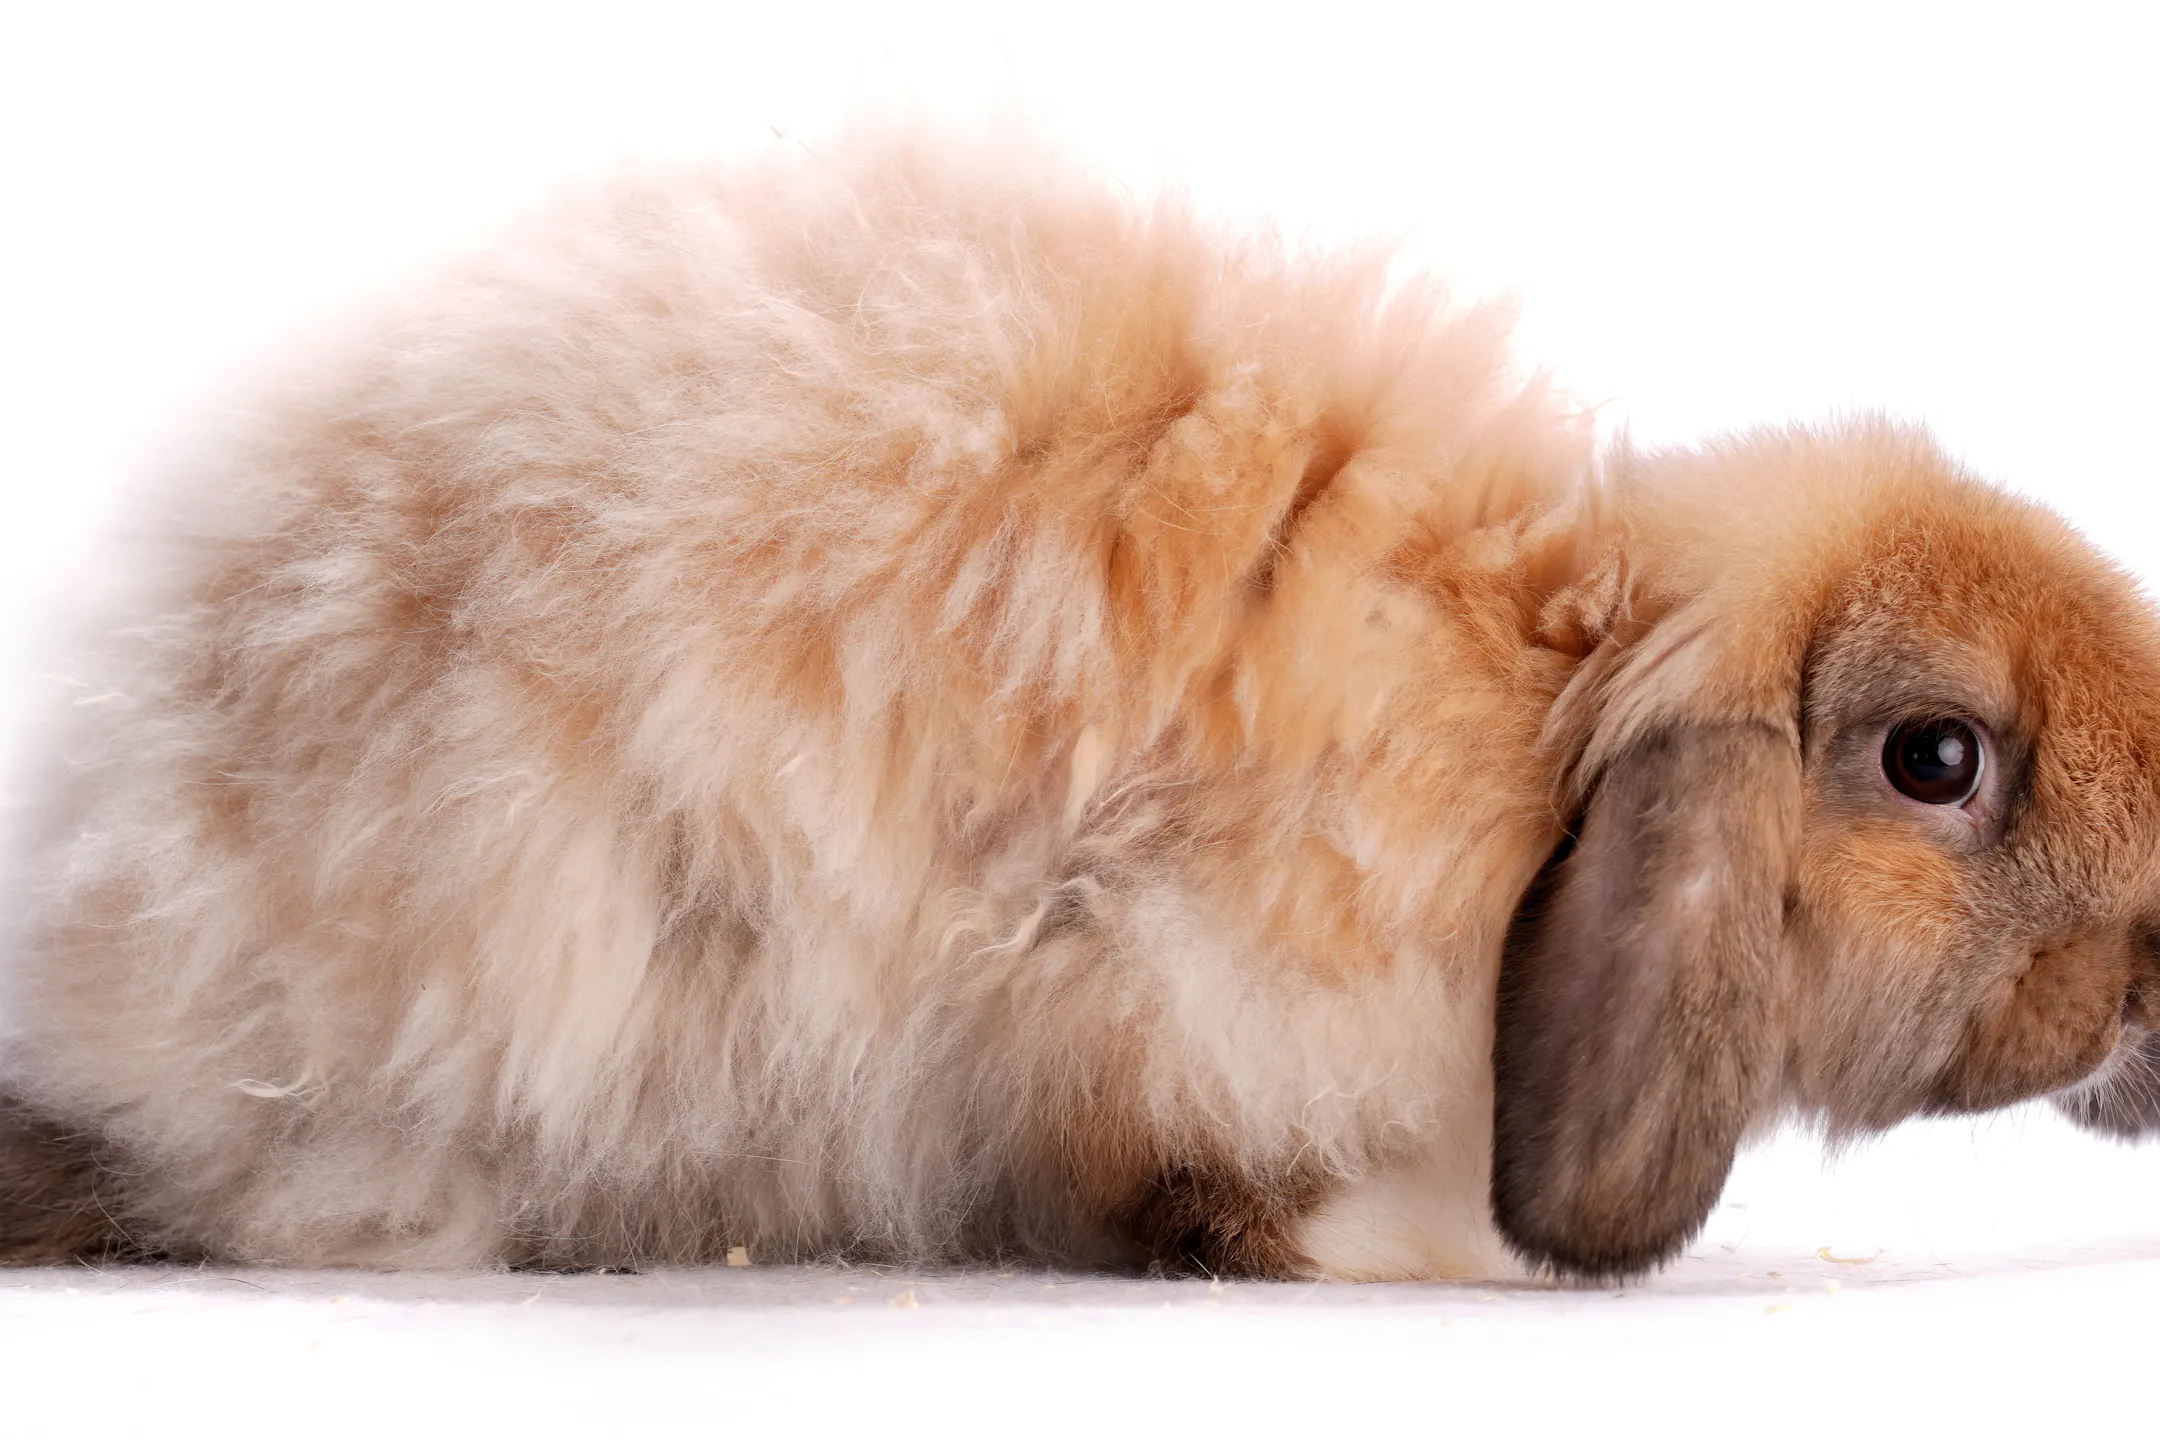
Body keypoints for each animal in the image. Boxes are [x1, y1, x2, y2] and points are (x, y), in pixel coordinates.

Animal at [3, 131, 2158, 1284]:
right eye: (1938, 760)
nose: (2148, 985)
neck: (1537, 710)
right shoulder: (1169, 982)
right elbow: (1198, 1185)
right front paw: (1395, 1251)